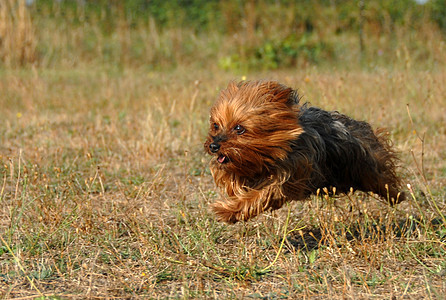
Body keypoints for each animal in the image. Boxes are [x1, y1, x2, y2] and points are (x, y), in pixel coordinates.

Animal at [204, 79, 406, 223]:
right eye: (215, 125)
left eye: (239, 128)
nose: (213, 146)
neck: (266, 156)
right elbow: (232, 178)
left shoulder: (292, 173)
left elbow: (262, 195)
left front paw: (227, 211)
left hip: (367, 165)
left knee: (382, 179)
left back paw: (397, 196)